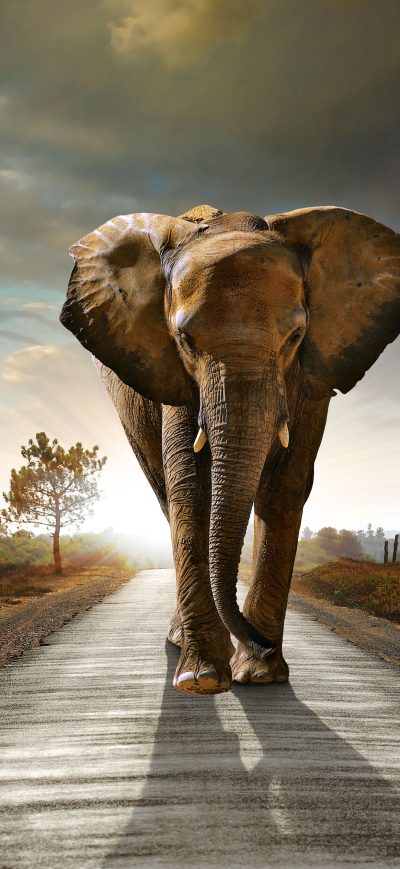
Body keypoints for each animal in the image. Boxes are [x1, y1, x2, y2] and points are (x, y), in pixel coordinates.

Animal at [60, 203, 400, 696]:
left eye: (296, 337)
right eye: (185, 340)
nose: (262, 643)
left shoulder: (312, 374)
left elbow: (285, 486)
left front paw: (260, 675)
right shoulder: (175, 375)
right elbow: (191, 486)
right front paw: (203, 679)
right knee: (166, 494)